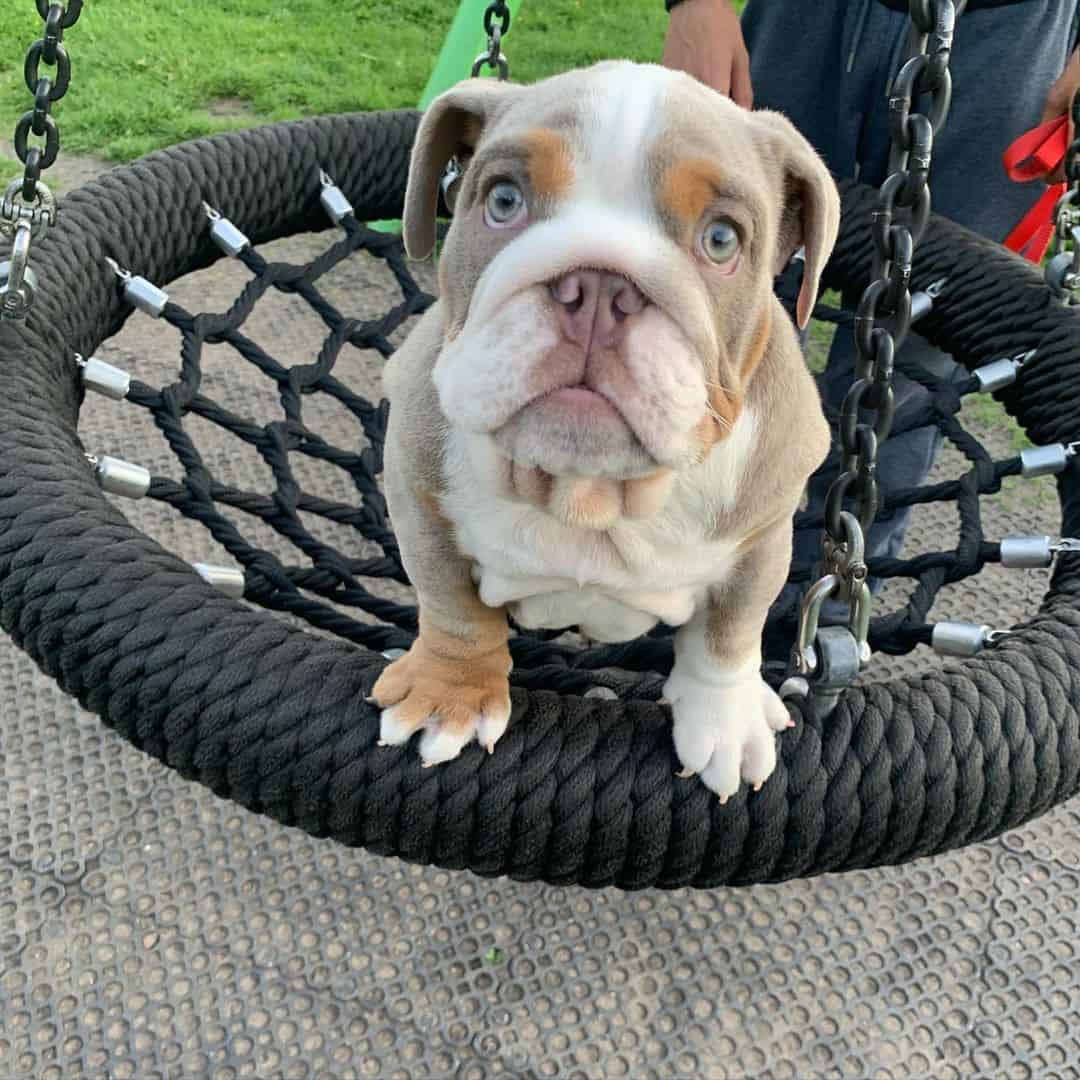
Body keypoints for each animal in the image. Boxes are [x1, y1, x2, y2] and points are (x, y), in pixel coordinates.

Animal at [375, 61, 838, 803]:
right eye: (502, 200)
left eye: (722, 240)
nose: (595, 288)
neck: (588, 492)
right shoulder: (419, 494)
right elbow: (451, 607)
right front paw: (450, 695)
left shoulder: (763, 536)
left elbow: (731, 631)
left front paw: (727, 720)